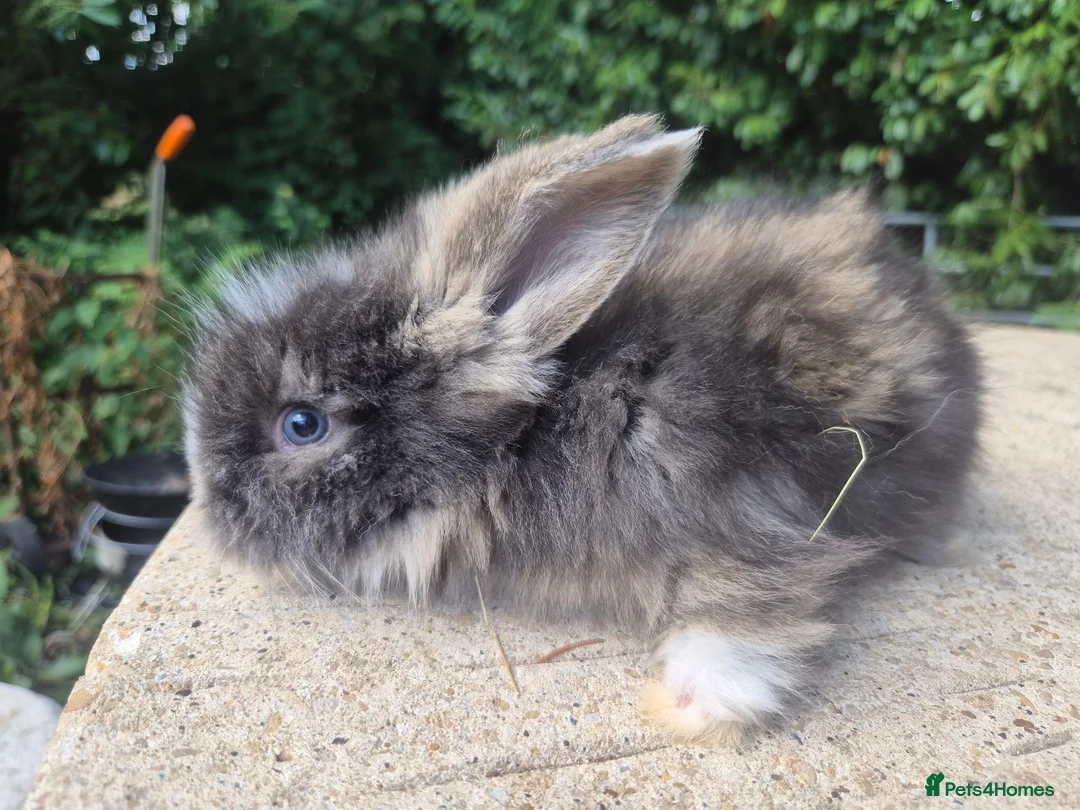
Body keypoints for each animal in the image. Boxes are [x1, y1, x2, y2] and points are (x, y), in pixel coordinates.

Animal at [182, 114, 982, 746]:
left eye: (301, 424)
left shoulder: (738, 521)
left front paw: (689, 703)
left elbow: (754, 608)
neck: (528, 436)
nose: (209, 508)